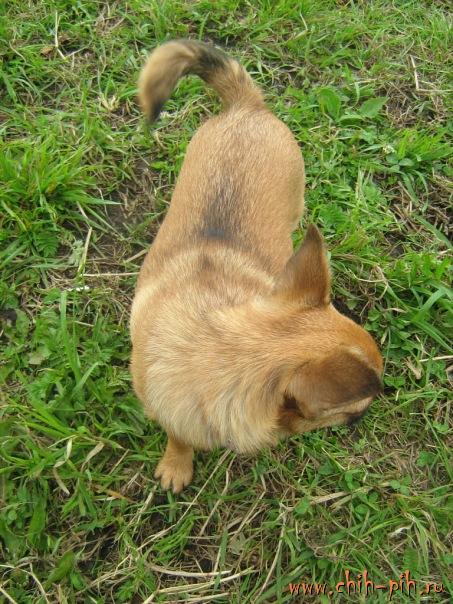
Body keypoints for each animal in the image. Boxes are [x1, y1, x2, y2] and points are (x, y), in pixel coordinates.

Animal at [130, 40, 383, 493]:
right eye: (356, 406)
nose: (376, 405)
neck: (218, 348)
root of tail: (245, 107)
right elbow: (178, 434)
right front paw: (178, 462)